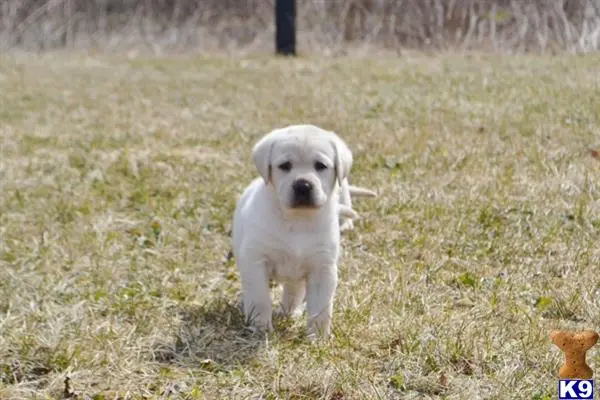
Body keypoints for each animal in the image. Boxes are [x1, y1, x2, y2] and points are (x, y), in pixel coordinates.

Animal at [231, 125, 376, 338]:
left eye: (321, 166)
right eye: (284, 166)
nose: (303, 185)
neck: (298, 220)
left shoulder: (322, 267)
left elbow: (321, 308)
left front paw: (319, 338)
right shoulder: (255, 260)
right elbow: (260, 298)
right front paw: (260, 328)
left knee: (294, 292)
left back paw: (290, 312)